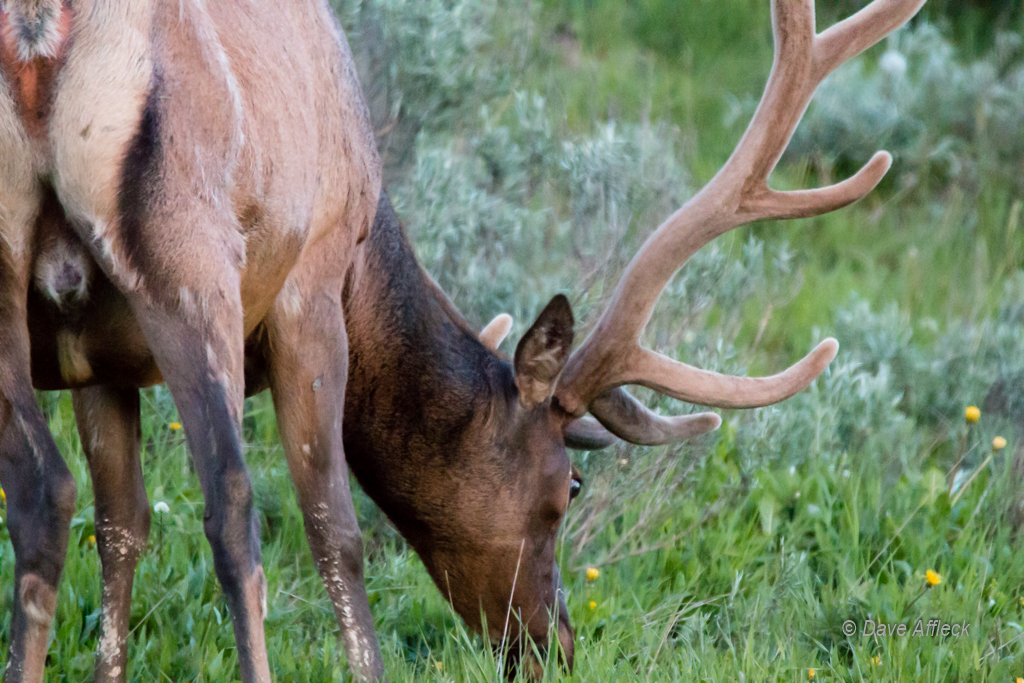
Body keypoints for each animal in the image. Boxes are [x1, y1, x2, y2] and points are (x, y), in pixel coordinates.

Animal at [0, 0, 929, 679]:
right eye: (571, 485)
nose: (556, 645)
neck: (369, 257)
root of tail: (44, 37)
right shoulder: (310, 286)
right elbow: (334, 529)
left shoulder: (102, 361)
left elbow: (123, 529)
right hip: (193, 260)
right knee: (229, 507)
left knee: (45, 491)